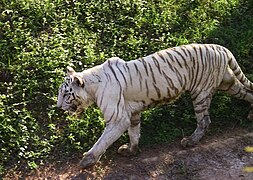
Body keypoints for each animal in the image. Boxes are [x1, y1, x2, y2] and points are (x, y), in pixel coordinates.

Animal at [56, 44, 253, 169]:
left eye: (65, 94)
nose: (58, 106)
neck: (91, 87)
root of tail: (220, 48)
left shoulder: (118, 118)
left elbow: (103, 141)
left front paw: (87, 160)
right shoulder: (133, 113)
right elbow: (134, 132)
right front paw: (131, 151)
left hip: (201, 93)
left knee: (204, 120)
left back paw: (190, 141)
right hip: (228, 83)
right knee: (247, 91)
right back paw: (251, 114)